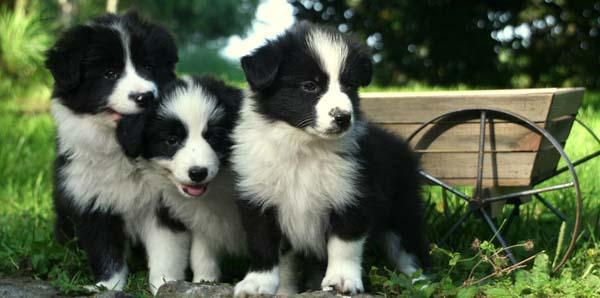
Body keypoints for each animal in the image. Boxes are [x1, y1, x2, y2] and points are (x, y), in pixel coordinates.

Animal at [46, 12, 186, 294]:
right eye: (109, 73)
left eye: (148, 67)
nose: (145, 96)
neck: (122, 150)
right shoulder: (92, 201)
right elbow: (105, 252)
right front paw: (108, 287)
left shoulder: (165, 205)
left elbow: (167, 251)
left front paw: (165, 285)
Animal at [117, 76, 246, 284]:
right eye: (172, 140)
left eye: (214, 138)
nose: (198, 173)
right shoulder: (204, 222)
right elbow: (201, 255)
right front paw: (204, 282)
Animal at [231, 21, 432, 296]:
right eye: (310, 86)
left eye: (349, 86)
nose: (343, 117)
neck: (304, 146)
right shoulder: (258, 198)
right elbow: (263, 245)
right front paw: (257, 283)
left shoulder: (352, 194)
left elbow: (344, 245)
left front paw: (342, 280)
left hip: (402, 210)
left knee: (410, 247)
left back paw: (420, 282)